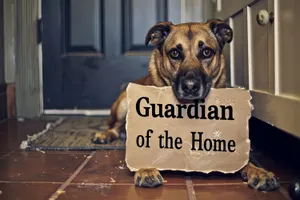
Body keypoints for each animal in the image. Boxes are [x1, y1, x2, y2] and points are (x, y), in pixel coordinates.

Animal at [92, 19, 280, 191]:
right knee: (115, 127)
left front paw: (259, 171)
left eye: (206, 52)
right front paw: (146, 168)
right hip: (123, 104)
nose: (190, 86)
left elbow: (244, 160)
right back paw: (104, 135)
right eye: (175, 53)